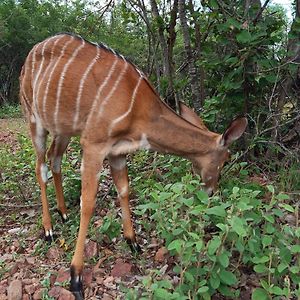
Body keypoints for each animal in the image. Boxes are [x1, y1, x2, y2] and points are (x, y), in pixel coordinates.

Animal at [19, 33, 247, 298]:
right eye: (226, 159)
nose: (211, 192)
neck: (140, 109)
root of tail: (31, 54)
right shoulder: (94, 144)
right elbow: (88, 203)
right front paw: (75, 278)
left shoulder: (117, 151)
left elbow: (124, 190)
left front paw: (133, 242)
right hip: (34, 120)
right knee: (41, 168)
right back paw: (48, 230)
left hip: (62, 129)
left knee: (55, 160)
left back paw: (64, 213)